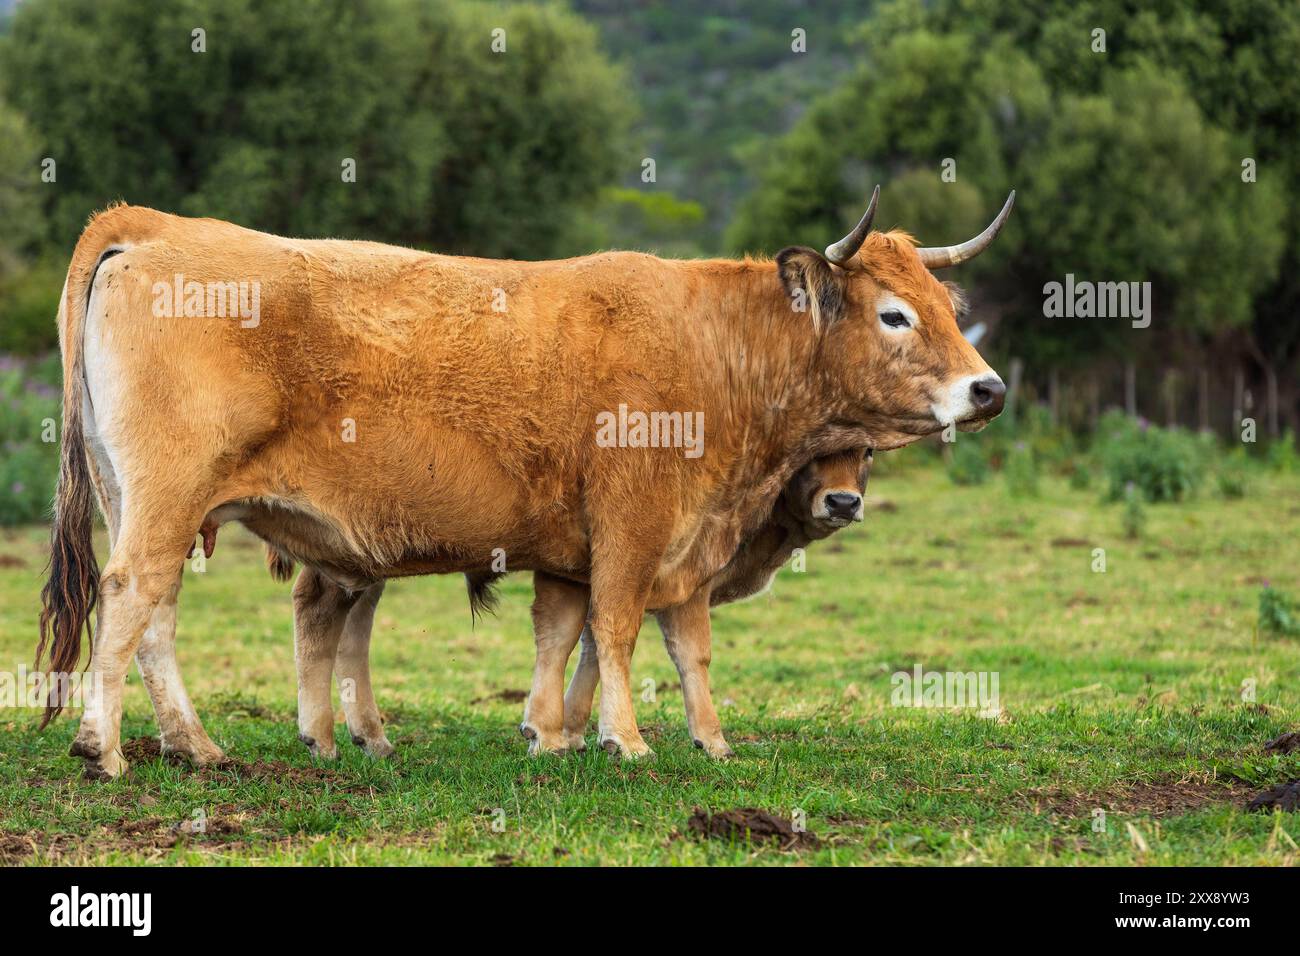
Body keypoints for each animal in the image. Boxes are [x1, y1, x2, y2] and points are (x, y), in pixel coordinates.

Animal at [37, 187, 1011, 779]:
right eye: (895, 314)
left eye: (947, 308)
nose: (989, 388)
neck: (714, 347)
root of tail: (152, 224)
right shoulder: (633, 528)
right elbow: (617, 632)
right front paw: (626, 740)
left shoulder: (593, 552)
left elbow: (591, 639)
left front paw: (570, 735)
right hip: (166, 499)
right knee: (130, 595)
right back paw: (104, 746)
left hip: (148, 503)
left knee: (158, 613)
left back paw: (195, 745)